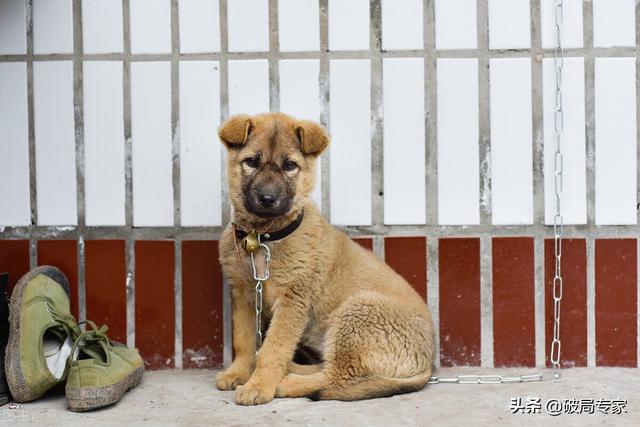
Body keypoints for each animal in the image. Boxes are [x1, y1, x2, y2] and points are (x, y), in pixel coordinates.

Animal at [216, 113, 436, 404]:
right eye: (251, 161)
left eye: (290, 165)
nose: (267, 199)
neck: (262, 238)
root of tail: (428, 365)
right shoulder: (244, 295)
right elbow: (244, 340)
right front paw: (240, 372)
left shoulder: (293, 300)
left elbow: (273, 348)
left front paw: (259, 385)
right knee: (331, 368)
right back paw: (293, 369)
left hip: (356, 314)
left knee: (338, 375)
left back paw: (290, 382)